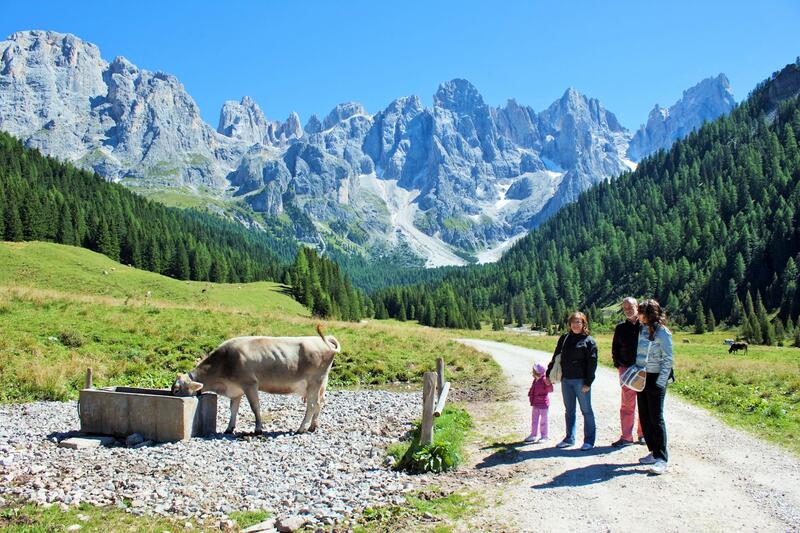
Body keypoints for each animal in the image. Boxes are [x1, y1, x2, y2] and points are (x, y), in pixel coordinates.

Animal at [173, 324, 340, 432]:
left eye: (175, 390)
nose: (172, 393)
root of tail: (324, 341)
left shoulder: (250, 383)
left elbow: (255, 407)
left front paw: (258, 428)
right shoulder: (236, 390)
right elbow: (233, 409)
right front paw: (229, 428)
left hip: (314, 381)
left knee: (312, 404)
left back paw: (301, 428)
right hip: (322, 383)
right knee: (320, 402)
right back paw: (313, 426)